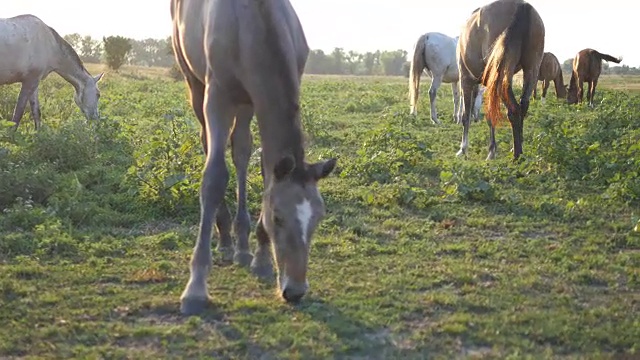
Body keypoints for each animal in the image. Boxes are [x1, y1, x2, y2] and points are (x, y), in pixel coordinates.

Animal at [170, 0, 340, 314]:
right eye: (278, 217)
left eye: (318, 218)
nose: (295, 290)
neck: (252, 23)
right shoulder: (218, 95)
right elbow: (214, 177)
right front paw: (196, 287)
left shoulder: (257, 99)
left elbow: (264, 169)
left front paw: (261, 257)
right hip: (195, 84)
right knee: (209, 144)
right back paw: (226, 239)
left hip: (245, 103)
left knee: (241, 151)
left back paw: (241, 245)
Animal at [456, 0, 544, 160]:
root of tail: (521, 5)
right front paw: (492, 150)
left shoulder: (466, 79)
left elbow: (467, 115)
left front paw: (464, 149)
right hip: (531, 69)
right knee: (523, 106)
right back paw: (517, 147)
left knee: (514, 109)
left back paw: (517, 155)